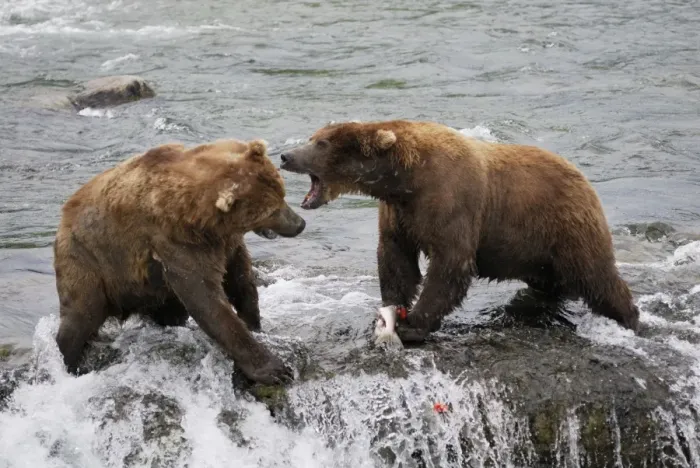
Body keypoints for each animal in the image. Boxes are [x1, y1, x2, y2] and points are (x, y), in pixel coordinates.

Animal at [54, 138, 306, 384]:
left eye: (282, 195)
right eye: (271, 211)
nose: (300, 224)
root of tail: (64, 217)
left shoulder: (225, 241)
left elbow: (240, 277)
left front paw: (255, 322)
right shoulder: (178, 240)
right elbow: (206, 298)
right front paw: (275, 369)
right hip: (89, 260)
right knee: (81, 315)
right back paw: (68, 361)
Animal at [279, 119, 640, 342]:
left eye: (321, 143)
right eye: (312, 138)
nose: (285, 155)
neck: (404, 179)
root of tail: (583, 178)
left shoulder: (450, 200)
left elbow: (451, 264)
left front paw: (414, 324)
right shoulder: (399, 213)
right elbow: (395, 258)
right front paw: (389, 311)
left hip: (564, 224)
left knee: (596, 275)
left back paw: (630, 318)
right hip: (535, 249)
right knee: (551, 281)